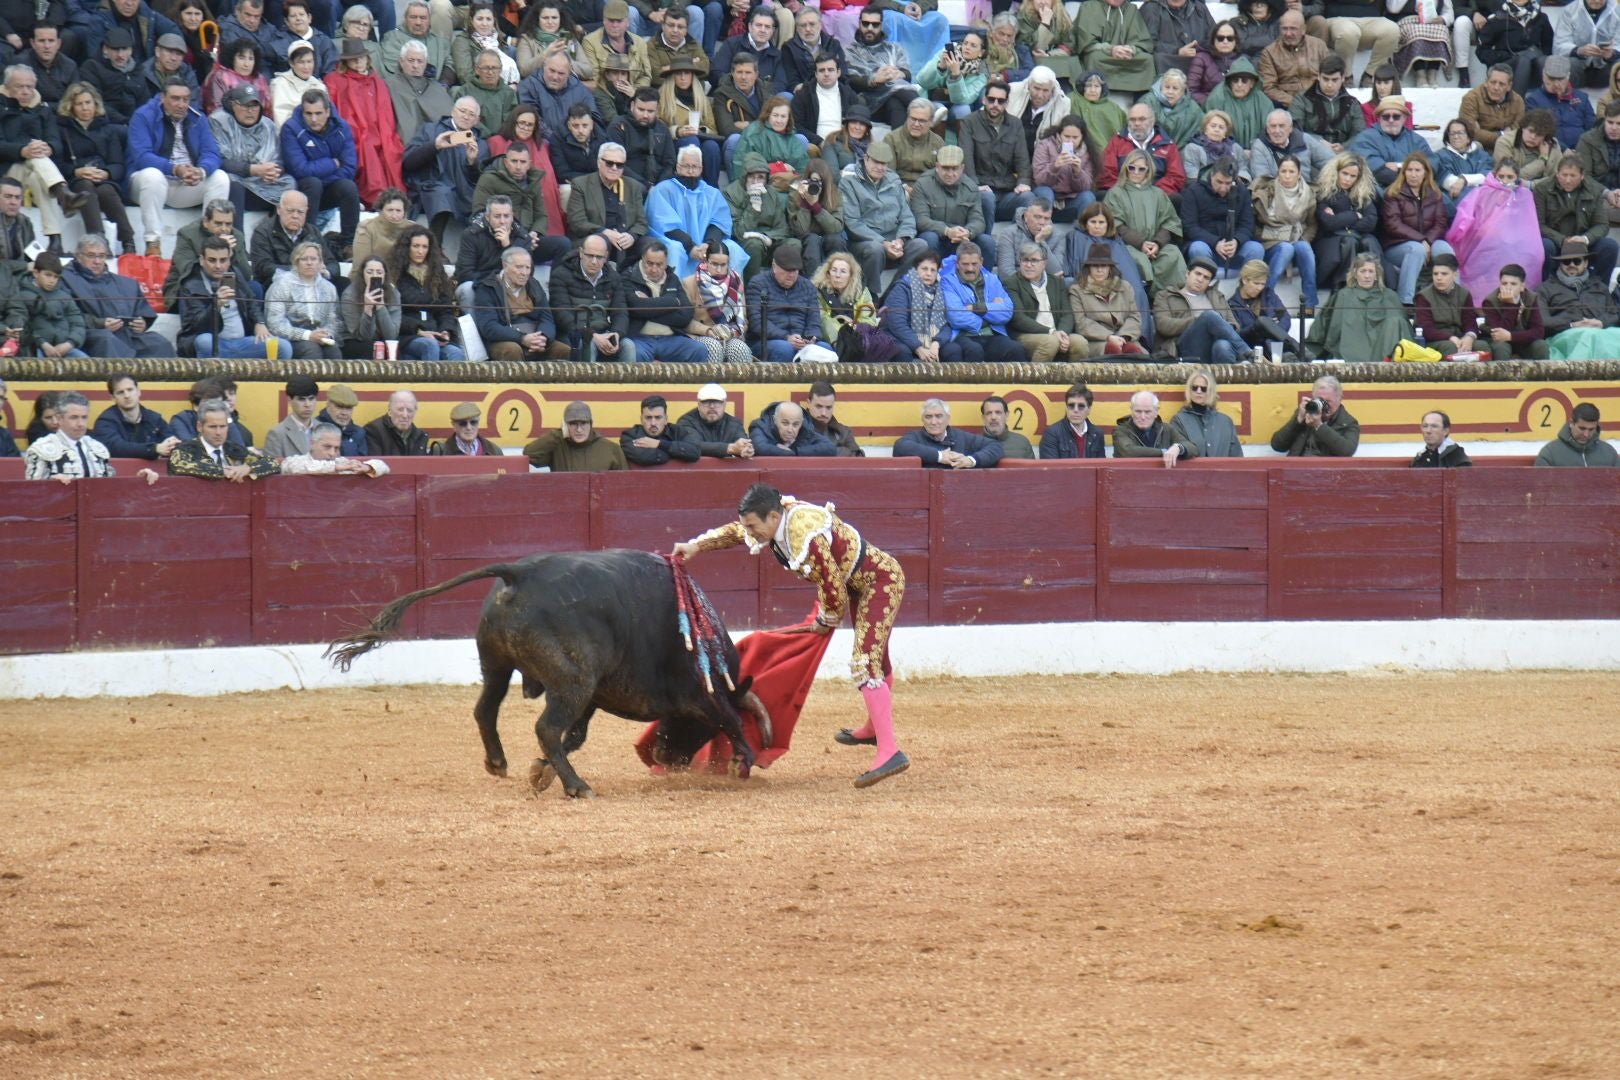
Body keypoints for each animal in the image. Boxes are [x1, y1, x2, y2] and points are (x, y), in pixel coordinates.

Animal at [327, 553, 771, 799]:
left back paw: (499, 762)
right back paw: (578, 786)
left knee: (487, 710)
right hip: (572, 681)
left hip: (499, 665)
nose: (666, 757)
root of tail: (520, 572)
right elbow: (729, 717)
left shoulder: (594, 697)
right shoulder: (697, 694)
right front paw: (742, 760)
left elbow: (575, 735)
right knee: (544, 726)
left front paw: (539, 771)